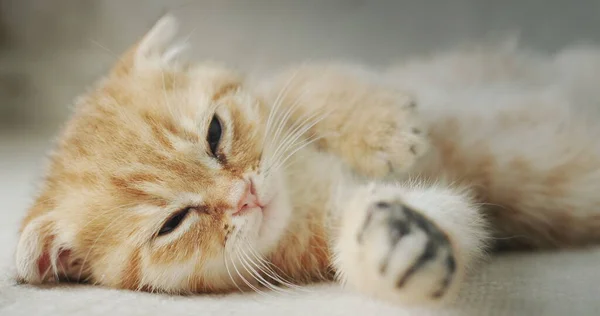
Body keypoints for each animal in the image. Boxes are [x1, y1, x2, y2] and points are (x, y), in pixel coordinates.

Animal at [14, 16, 600, 304]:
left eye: (215, 133)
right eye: (172, 223)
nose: (245, 195)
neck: (302, 185)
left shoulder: (291, 88)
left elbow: (320, 86)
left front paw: (387, 129)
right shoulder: (348, 213)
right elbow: (438, 217)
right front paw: (396, 246)